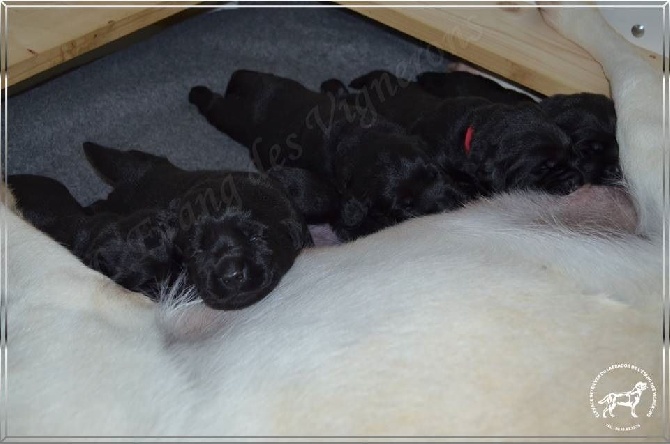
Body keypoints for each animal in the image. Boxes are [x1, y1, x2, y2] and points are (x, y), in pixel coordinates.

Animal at [188, 69, 468, 241]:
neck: (362, 140)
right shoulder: (346, 206)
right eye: (405, 206)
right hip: (237, 120)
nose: (450, 206)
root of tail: (259, 88)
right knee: (217, 107)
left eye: (434, 174)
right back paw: (198, 92)